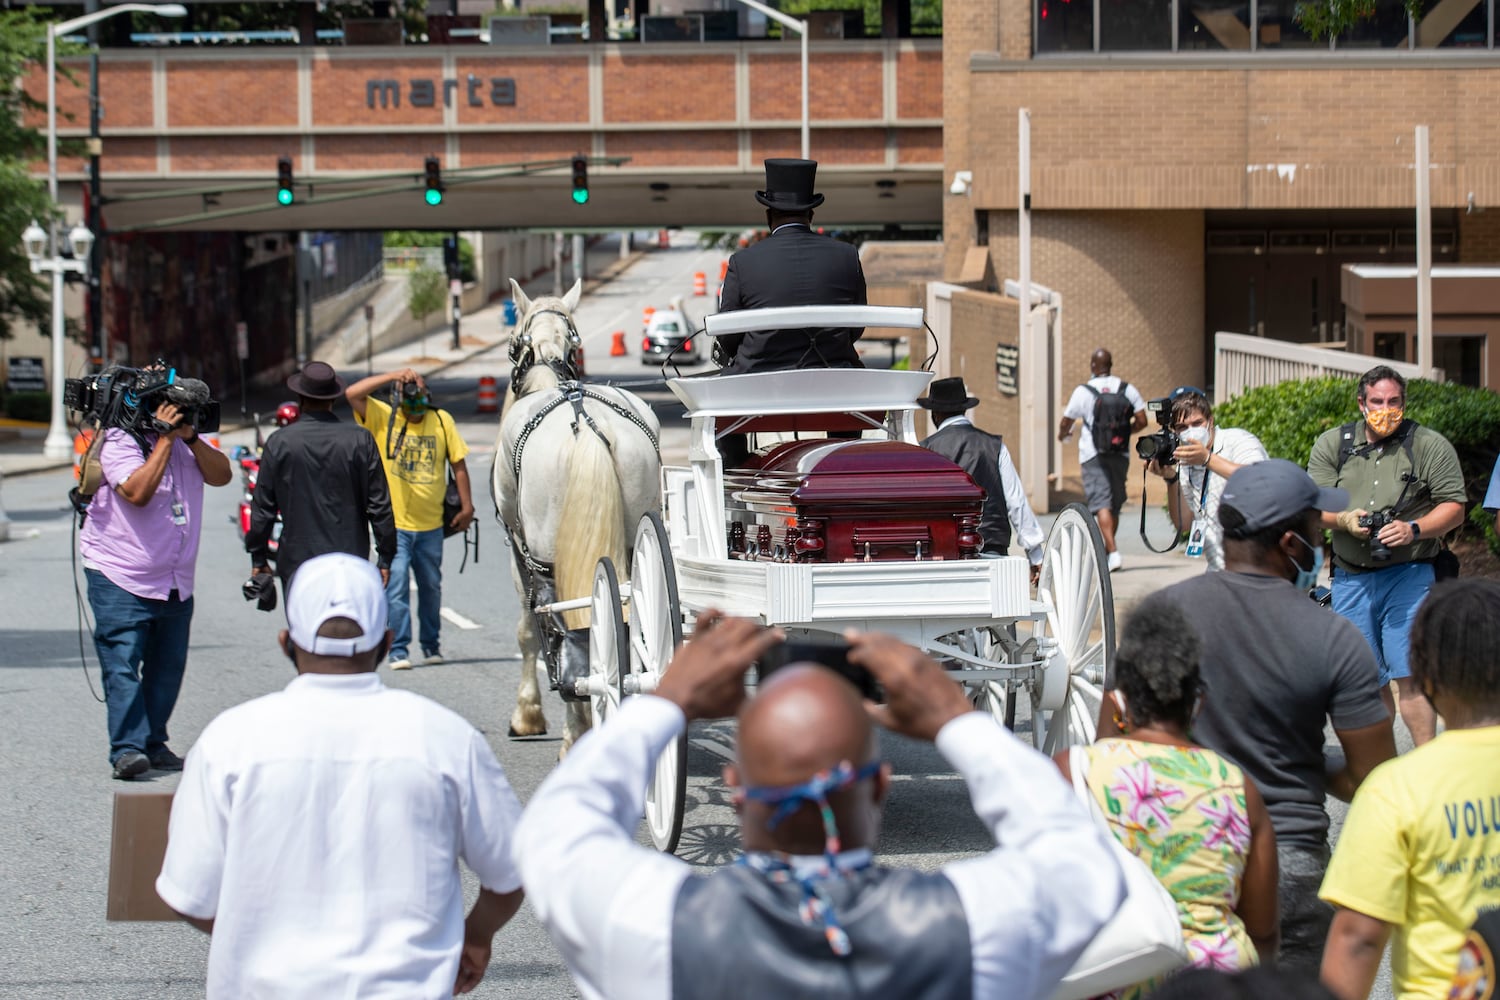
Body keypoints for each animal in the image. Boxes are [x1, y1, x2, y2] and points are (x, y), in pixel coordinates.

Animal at [492, 277, 663, 755]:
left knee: (572, 622)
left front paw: (526, 715)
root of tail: (586, 425)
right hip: (635, 535)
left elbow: (529, 629)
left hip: (546, 550)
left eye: (512, 341)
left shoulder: (518, 548)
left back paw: (579, 730)